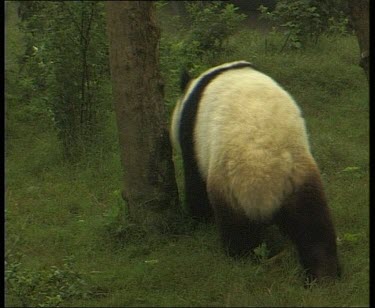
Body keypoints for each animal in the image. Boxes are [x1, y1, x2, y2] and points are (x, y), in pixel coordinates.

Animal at [172, 60, 342, 282]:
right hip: (300, 175)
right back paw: (324, 274)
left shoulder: (192, 136)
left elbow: (195, 184)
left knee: (237, 231)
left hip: (229, 185)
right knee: (313, 223)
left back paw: (242, 261)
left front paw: (199, 220)